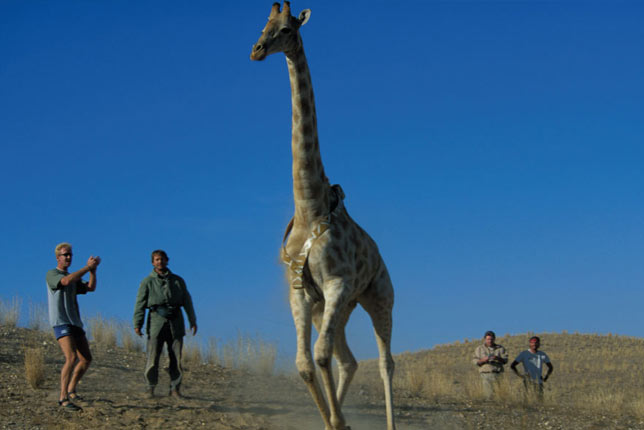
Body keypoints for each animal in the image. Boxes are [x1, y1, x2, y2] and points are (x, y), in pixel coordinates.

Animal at [250, 3, 395, 430]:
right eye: (262, 25)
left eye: (285, 29)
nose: (256, 50)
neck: (308, 207)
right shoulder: (301, 294)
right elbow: (305, 363)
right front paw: (334, 421)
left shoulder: (337, 284)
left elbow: (318, 355)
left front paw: (337, 419)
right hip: (336, 310)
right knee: (347, 359)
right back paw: (338, 418)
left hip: (378, 296)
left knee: (385, 362)